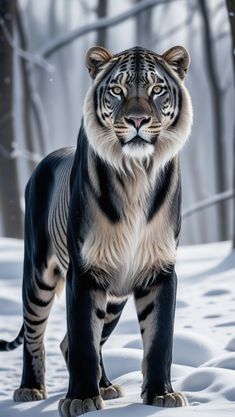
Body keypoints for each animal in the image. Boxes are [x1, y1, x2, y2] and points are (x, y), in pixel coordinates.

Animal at [0, 44, 192, 412]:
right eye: (116, 90)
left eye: (156, 89)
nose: (136, 120)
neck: (136, 172)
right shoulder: (84, 272)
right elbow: (83, 341)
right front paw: (81, 399)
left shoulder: (160, 269)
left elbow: (159, 339)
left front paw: (161, 394)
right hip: (39, 275)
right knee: (36, 335)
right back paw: (30, 389)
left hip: (114, 296)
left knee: (75, 339)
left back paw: (106, 386)